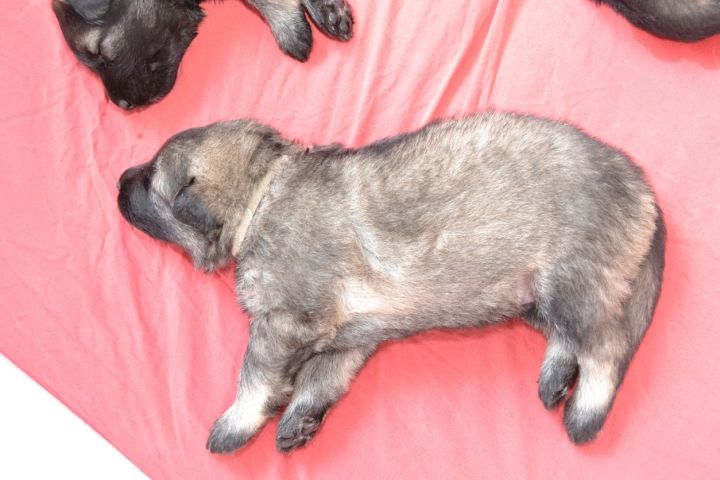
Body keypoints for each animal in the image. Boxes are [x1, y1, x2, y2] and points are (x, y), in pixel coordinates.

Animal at [117, 112, 665, 453]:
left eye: (150, 179)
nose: (121, 179)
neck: (261, 195)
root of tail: (640, 185)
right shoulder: (346, 339)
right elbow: (321, 380)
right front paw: (300, 419)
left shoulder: (283, 325)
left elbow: (254, 378)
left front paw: (235, 424)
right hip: (531, 296)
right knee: (569, 339)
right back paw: (555, 379)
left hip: (571, 280)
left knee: (606, 348)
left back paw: (586, 410)